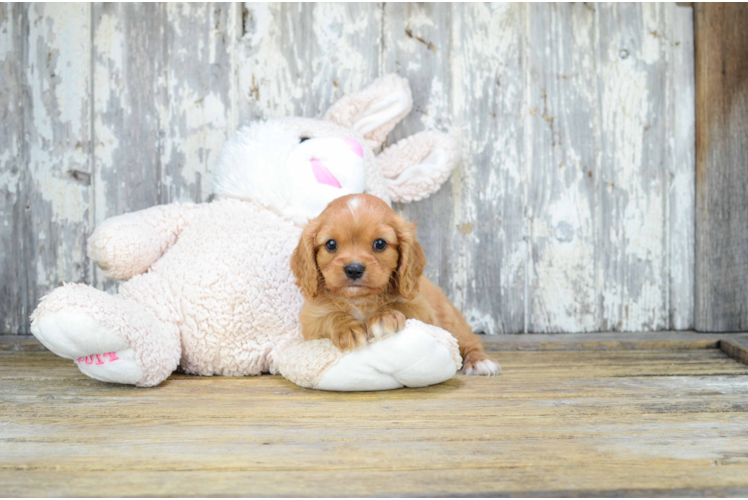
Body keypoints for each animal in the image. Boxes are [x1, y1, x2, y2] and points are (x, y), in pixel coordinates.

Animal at [290, 193, 500, 376]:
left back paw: (480, 361)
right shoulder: (311, 322)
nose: (354, 269)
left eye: (380, 243)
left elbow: (399, 304)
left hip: (450, 320)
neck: (360, 300)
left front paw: (384, 316)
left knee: (468, 341)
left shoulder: (423, 312)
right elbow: (331, 316)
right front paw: (347, 328)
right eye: (331, 244)